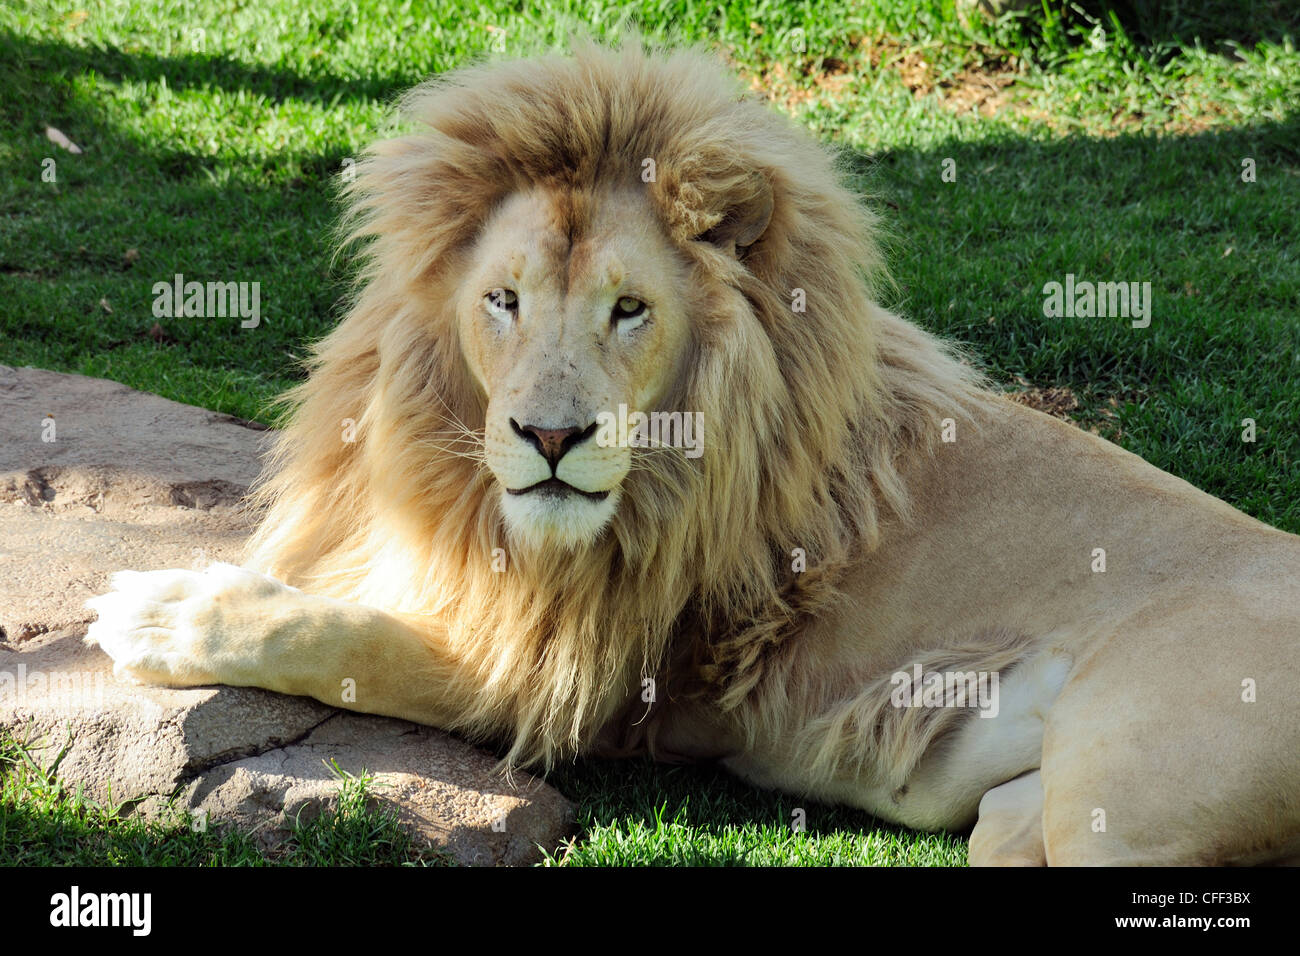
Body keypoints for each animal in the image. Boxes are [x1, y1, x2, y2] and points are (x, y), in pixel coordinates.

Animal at [85, 40, 1300, 865]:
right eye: (503, 300)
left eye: (630, 310)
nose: (552, 438)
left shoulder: (589, 681)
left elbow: (352, 639)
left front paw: (162, 610)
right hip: (1031, 813)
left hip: (1125, 788)